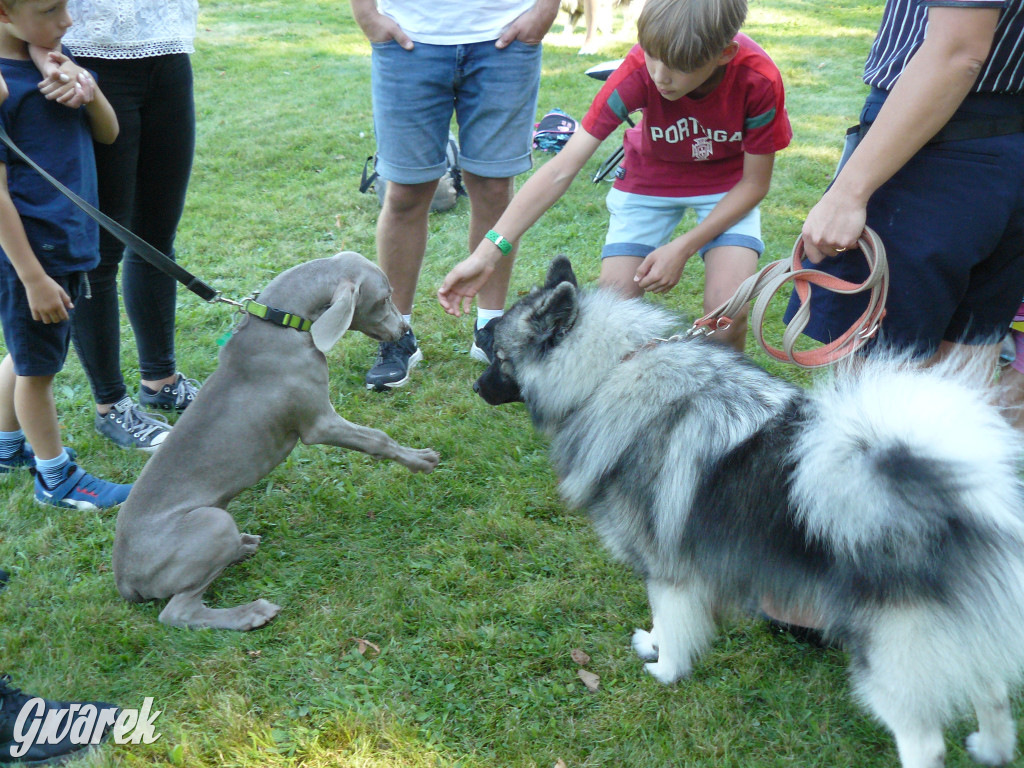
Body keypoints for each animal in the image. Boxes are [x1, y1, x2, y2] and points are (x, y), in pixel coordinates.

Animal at [113, 252, 440, 630]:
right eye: (385, 298)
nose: (404, 330)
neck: (283, 323)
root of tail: (124, 580)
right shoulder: (320, 423)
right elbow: (377, 438)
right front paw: (420, 459)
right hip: (213, 522)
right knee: (178, 611)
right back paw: (250, 613)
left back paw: (242, 546)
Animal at [475, 257, 1024, 768]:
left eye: (499, 357)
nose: (477, 386)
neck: (611, 370)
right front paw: (653, 645)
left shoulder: (667, 569)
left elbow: (671, 622)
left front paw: (663, 667)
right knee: (993, 694)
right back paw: (992, 749)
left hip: (891, 655)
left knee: (925, 739)